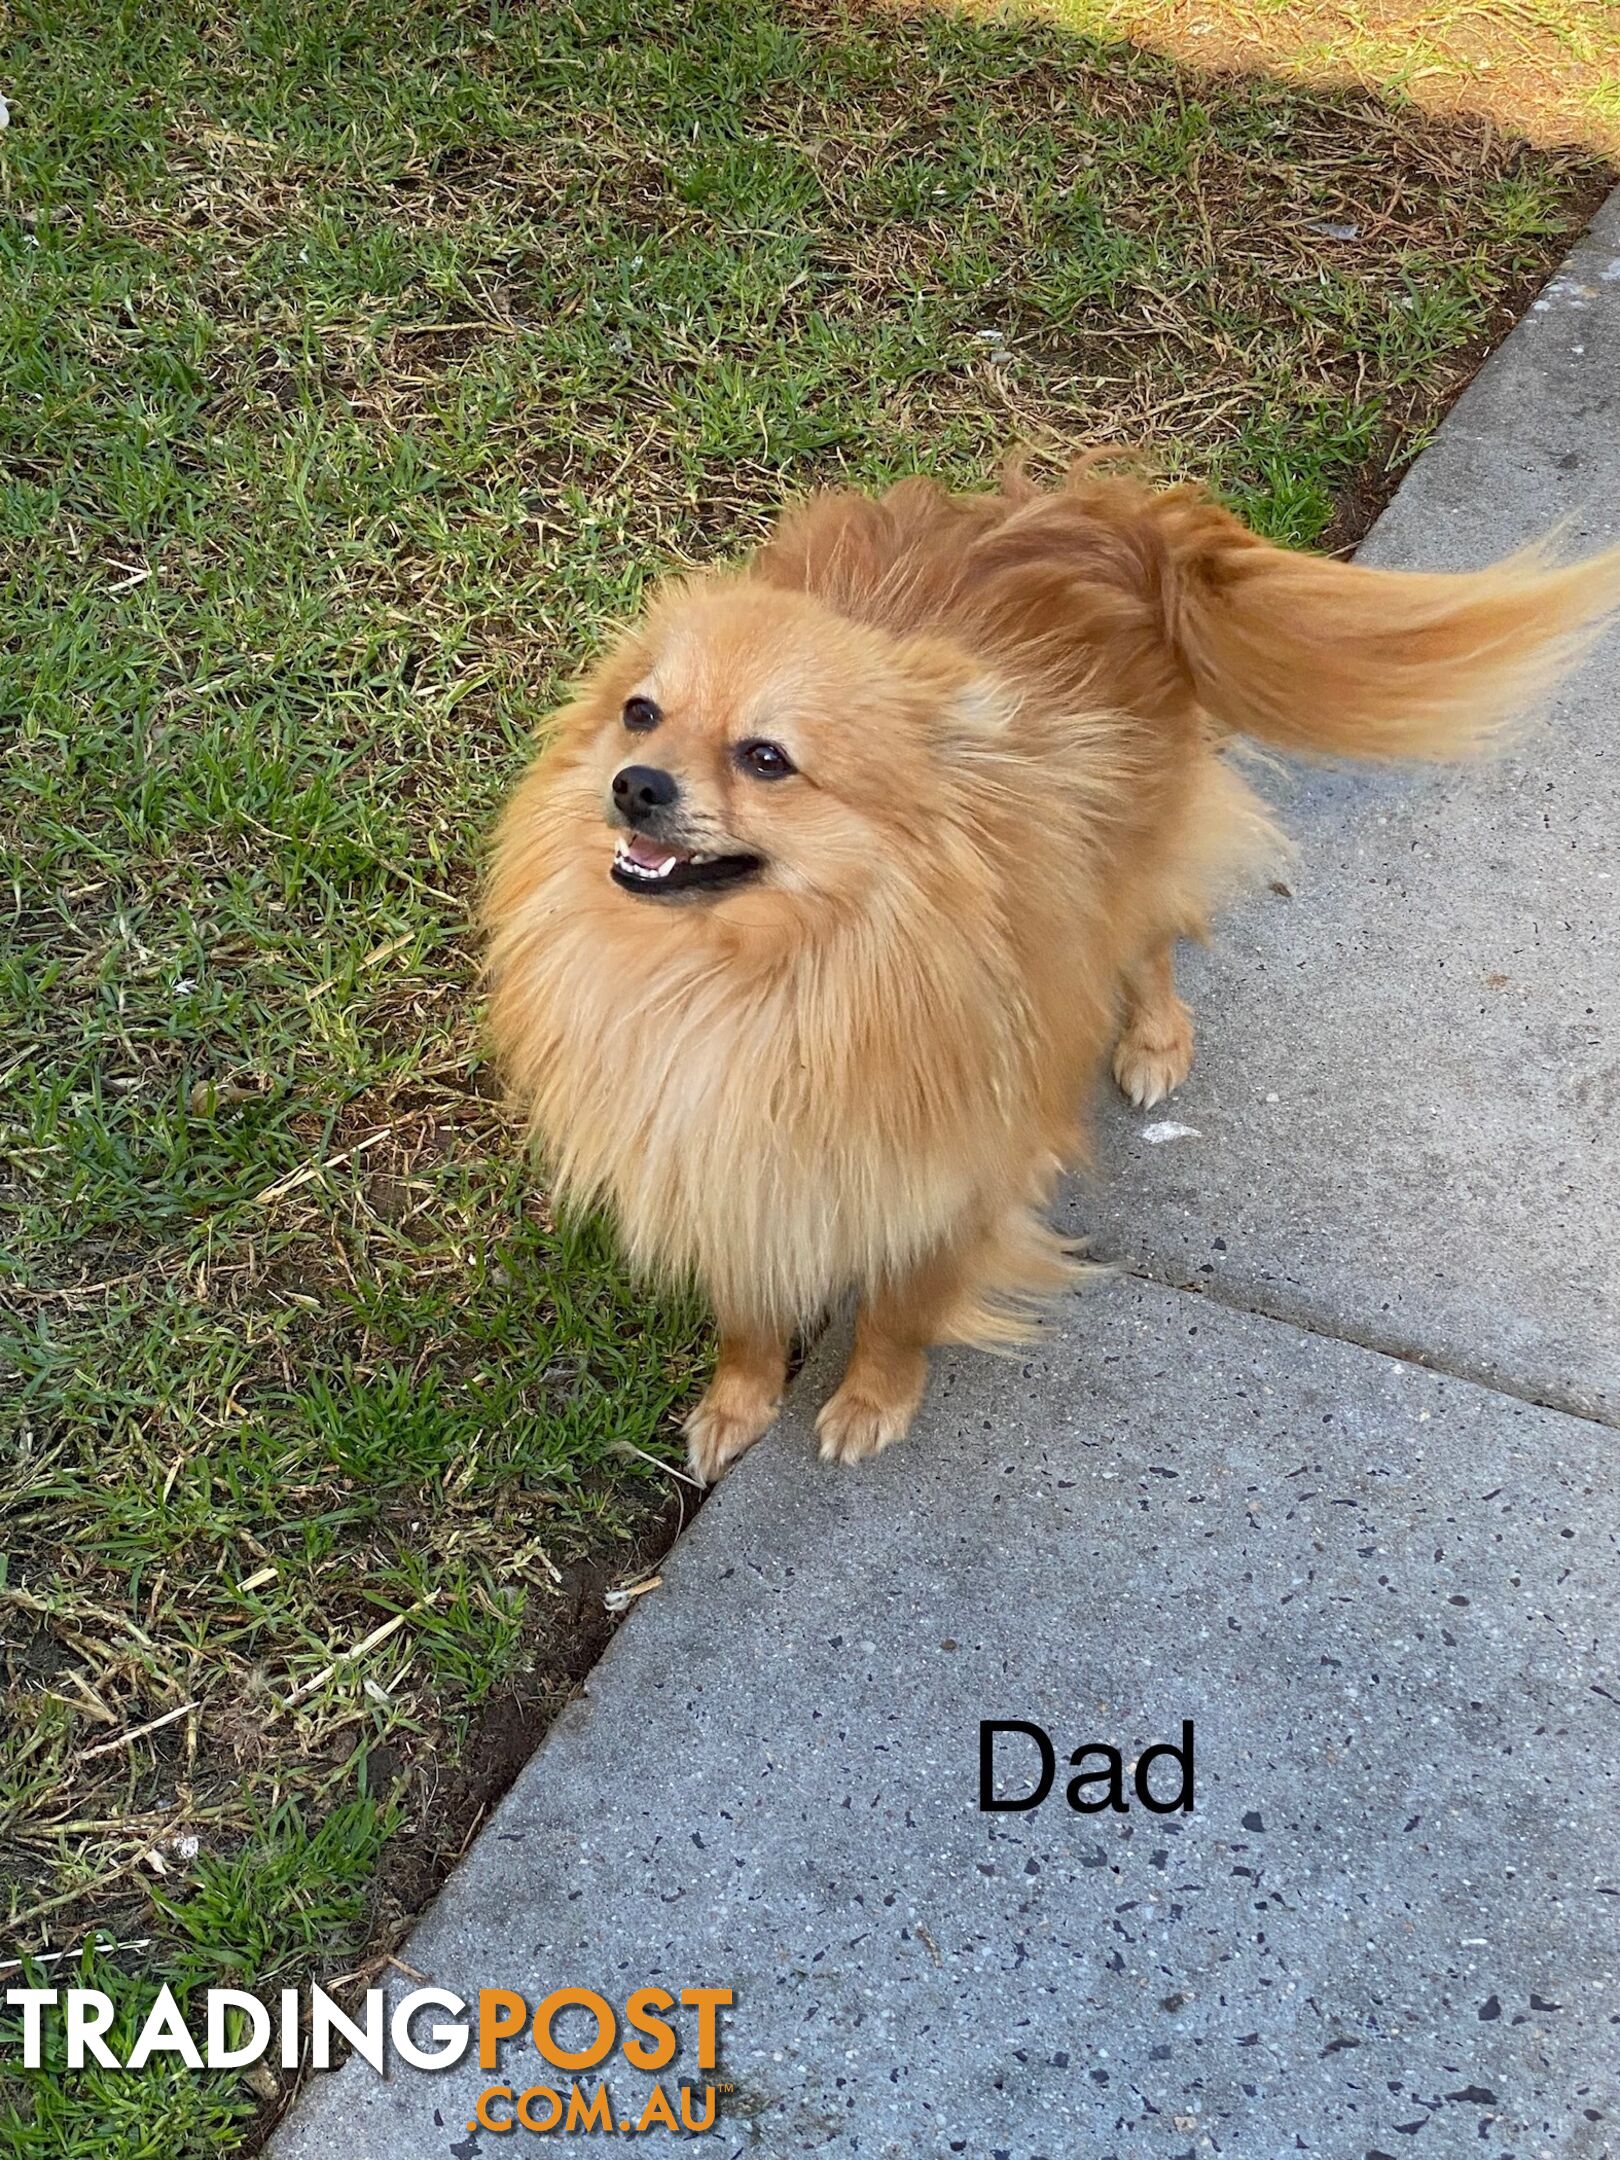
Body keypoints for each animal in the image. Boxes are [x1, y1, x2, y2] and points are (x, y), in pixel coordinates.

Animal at [486, 460, 1620, 1486]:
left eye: (767, 759)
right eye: (641, 714)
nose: (636, 783)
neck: (749, 972)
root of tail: (1115, 523)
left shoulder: (953, 1165)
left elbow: (905, 1305)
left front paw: (873, 1398)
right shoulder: (719, 1154)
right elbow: (747, 1310)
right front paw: (740, 1402)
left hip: (1133, 865)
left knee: (1149, 943)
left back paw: (1154, 1041)